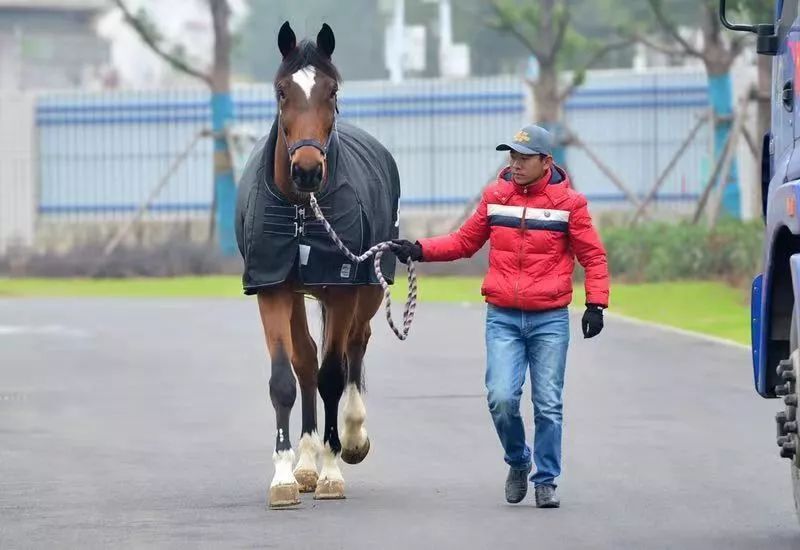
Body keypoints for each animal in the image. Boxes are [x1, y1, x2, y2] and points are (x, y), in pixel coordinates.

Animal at [236, 23, 400, 512]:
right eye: (281, 90)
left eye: (333, 90)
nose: (307, 169)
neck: (301, 209)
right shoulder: (273, 287)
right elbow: (285, 378)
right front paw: (286, 477)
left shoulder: (341, 286)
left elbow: (332, 375)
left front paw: (331, 471)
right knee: (306, 359)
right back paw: (306, 462)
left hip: (368, 285)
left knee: (355, 347)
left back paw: (350, 438)